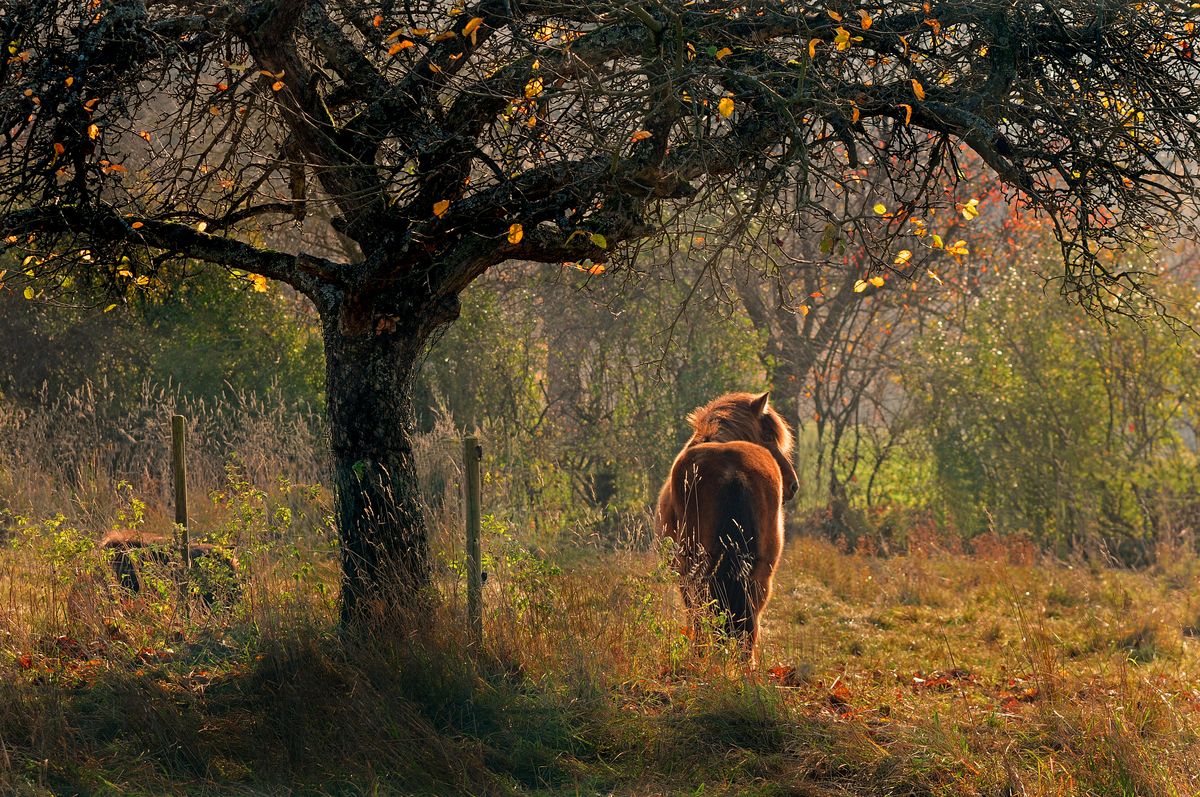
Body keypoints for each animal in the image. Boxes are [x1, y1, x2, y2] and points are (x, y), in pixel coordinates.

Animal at [657, 388, 796, 662]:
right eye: (767, 436)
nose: (793, 485)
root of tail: (734, 471)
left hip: (698, 568)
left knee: (704, 616)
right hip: (758, 574)